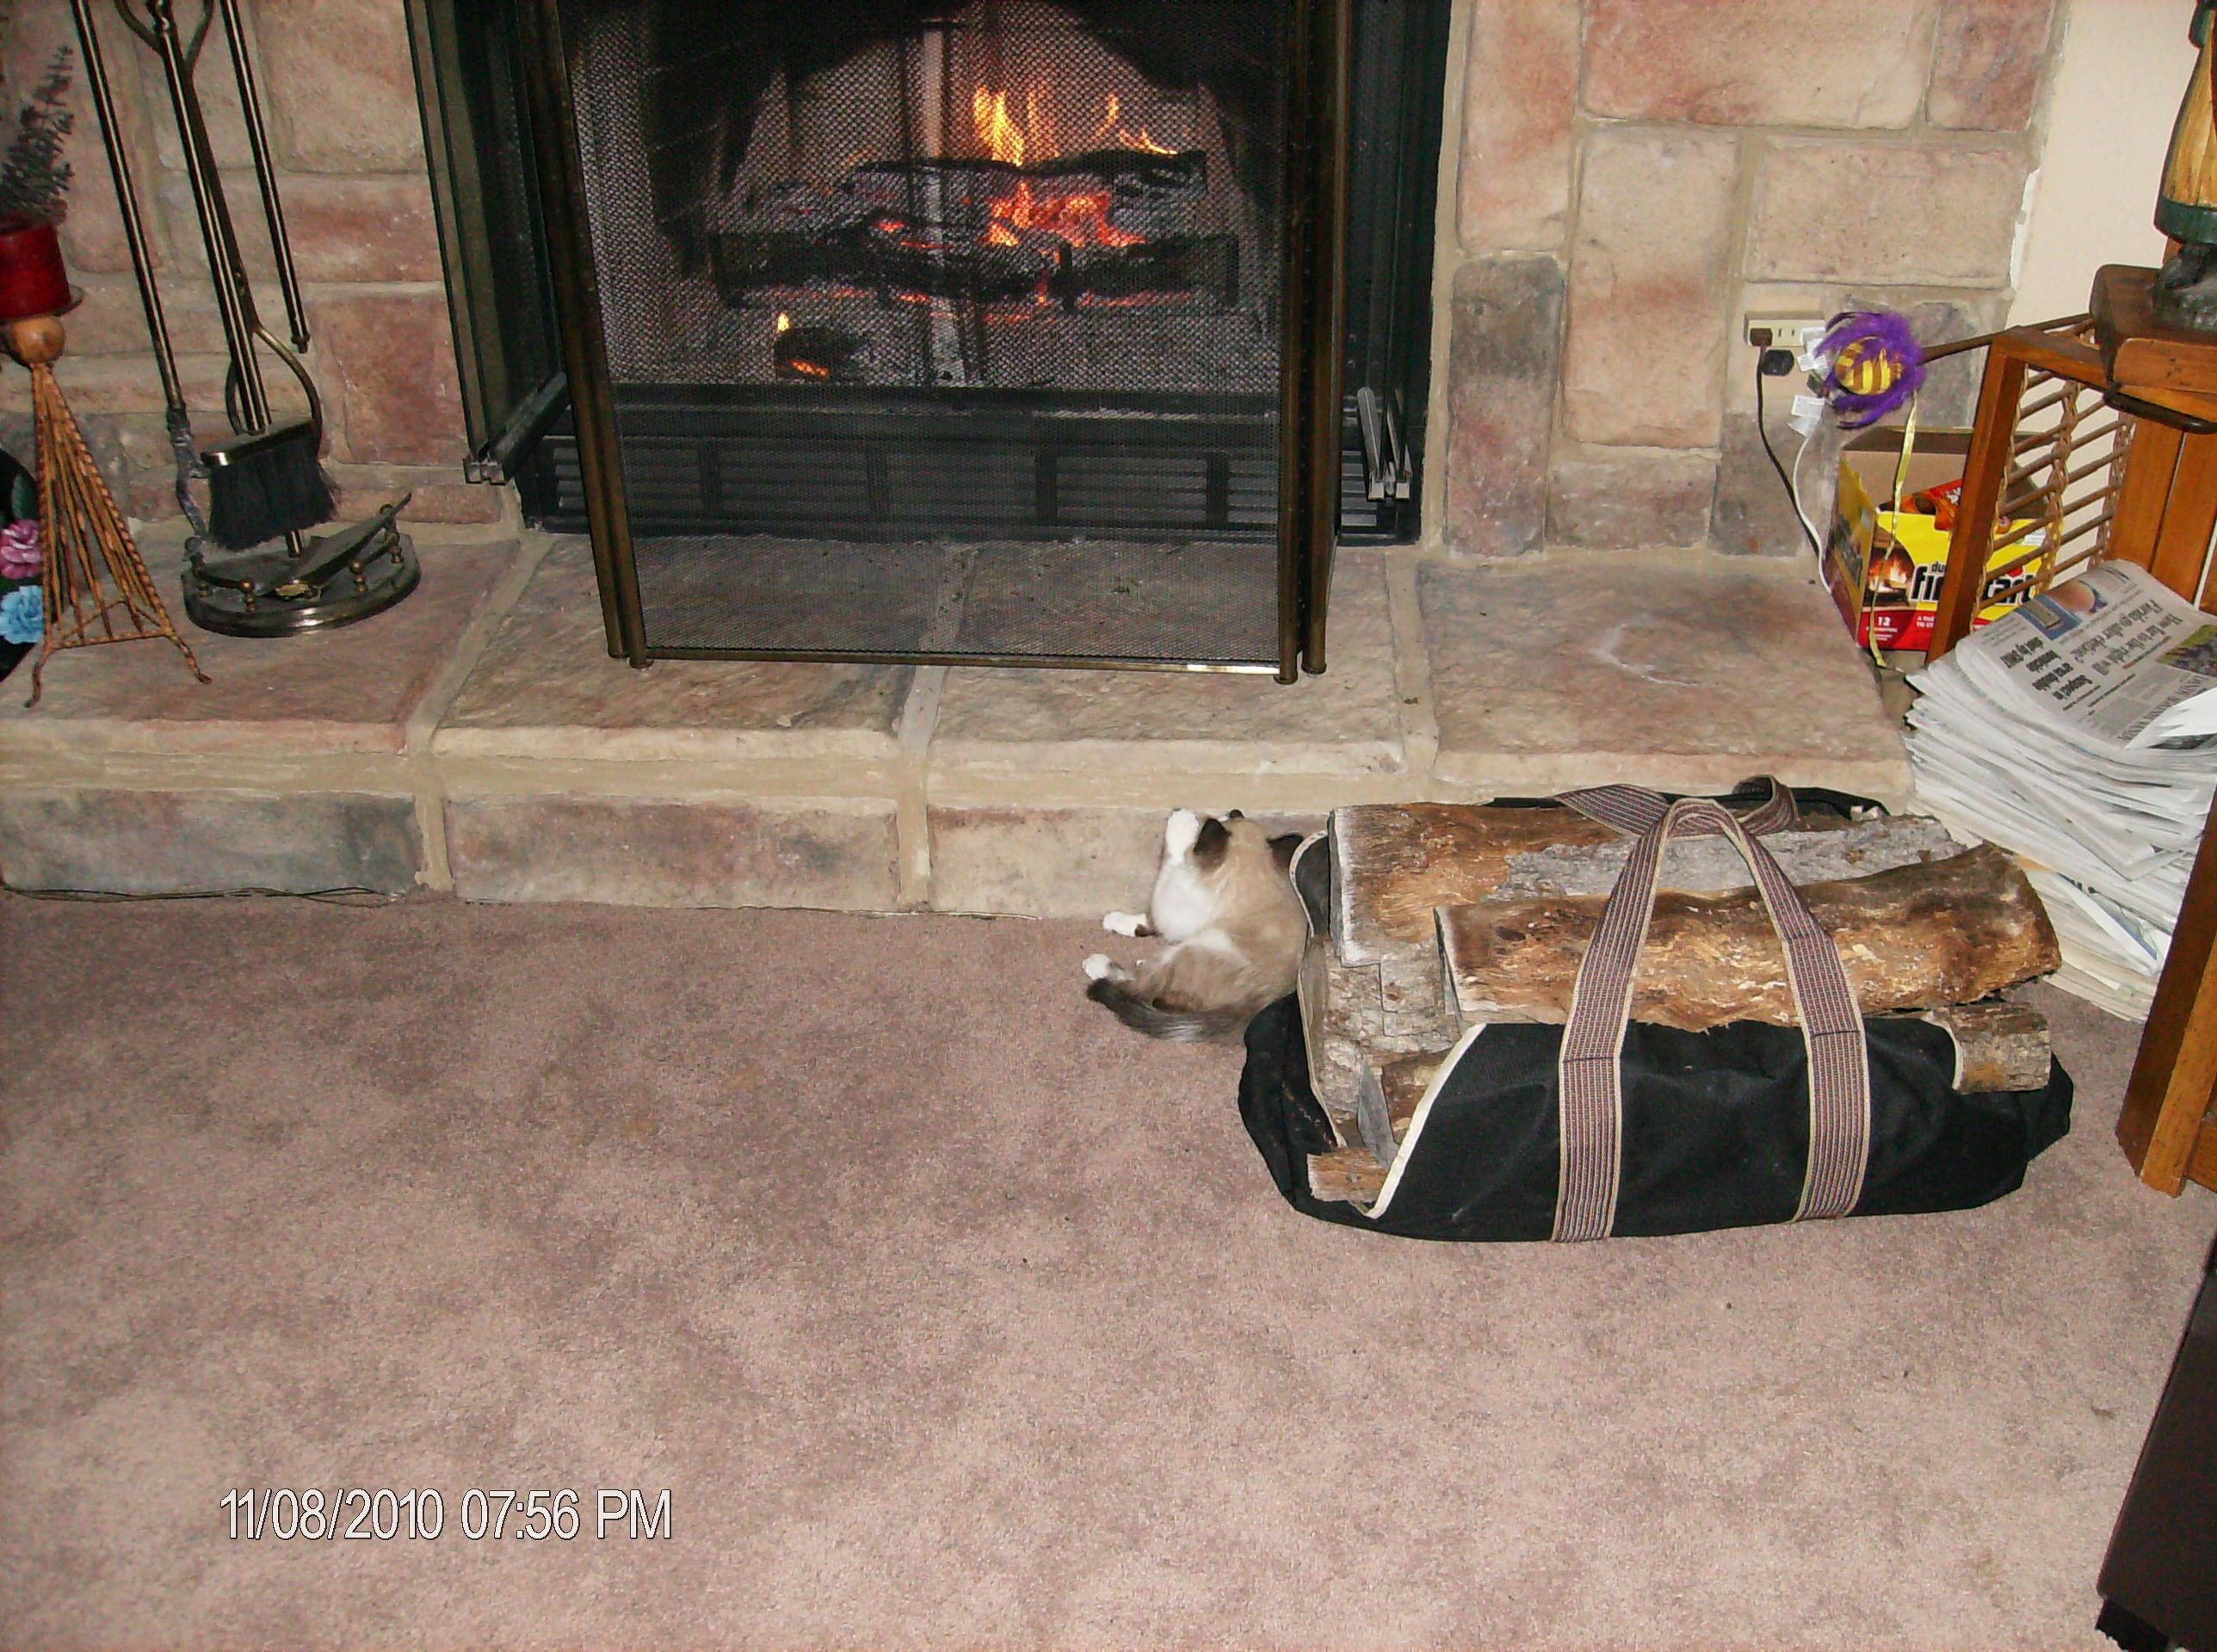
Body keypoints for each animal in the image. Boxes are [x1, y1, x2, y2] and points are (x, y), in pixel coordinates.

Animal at [1082, 811, 1303, 1042]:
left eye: (1225, 819)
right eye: (1232, 816)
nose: (1233, 811)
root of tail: (1255, 1010)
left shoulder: (1175, 904)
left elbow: (1172, 862)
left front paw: (1181, 820)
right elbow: (1148, 920)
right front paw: (1114, 920)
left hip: (1200, 947)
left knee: (1141, 984)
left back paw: (1098, 964)